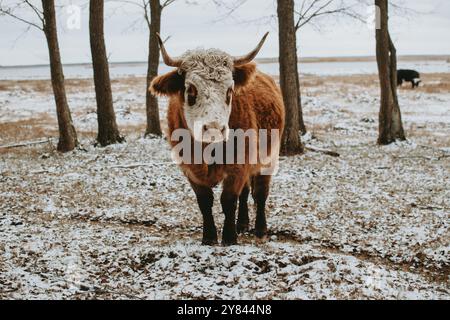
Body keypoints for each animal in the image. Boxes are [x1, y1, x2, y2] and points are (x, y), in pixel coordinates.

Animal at [151, 33, 284, 245]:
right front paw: (209, 236)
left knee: (260, 193)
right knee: (245, 192)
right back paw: (242, 224)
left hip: (269, 157)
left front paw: (229, 237)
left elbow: (228, 199)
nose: (214, 128)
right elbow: (205, 201)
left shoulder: (238, 164)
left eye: (230, 90)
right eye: (191, 90)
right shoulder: (189, 168)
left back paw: (260, 229)